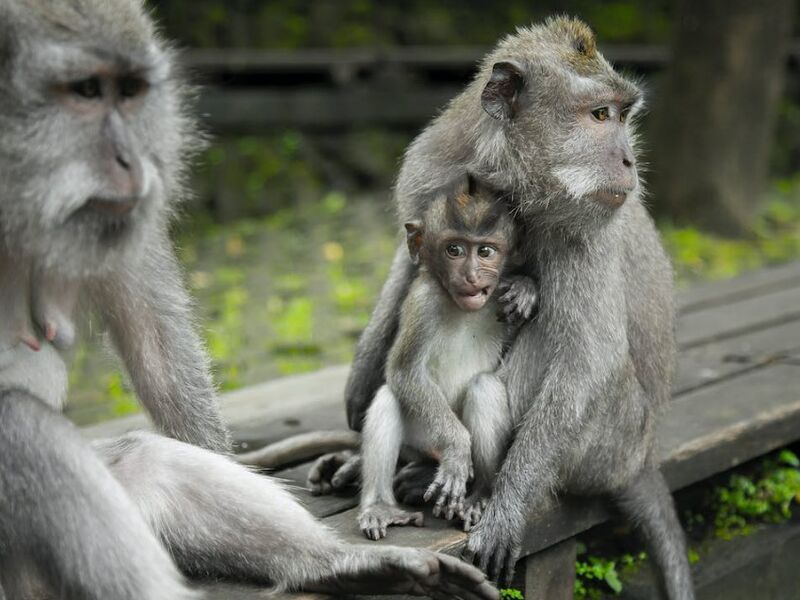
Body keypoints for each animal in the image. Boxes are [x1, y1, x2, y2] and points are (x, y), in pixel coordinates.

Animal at [0, 1, 500, 600]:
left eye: (129, 92)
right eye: (85, 91)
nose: (131, 160)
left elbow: (157, 351)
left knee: (140, 459)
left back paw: (340, 565)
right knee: (22, 427)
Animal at [358, 172, 536, 540]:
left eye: (485, 251)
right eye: (454, 250)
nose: (471, 276)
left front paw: (526, 289)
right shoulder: (422, 302)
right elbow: (404, 372)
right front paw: (456, 450)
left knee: (484, 387)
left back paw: (480, 494)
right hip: (424, 438)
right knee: (389, 398)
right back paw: (380, 506)